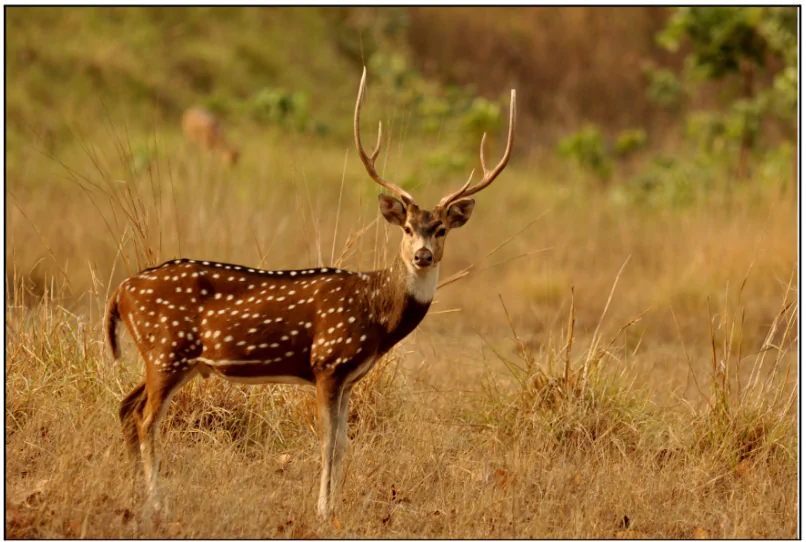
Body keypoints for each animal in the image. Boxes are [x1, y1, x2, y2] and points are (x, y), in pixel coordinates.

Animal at [109, 68, 516, 524]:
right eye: (408, 228)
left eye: (441, 228)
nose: (423, 255)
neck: (376, 313)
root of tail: (121, 292)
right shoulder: (328, 362)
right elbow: (327, 442)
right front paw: (322, 510)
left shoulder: (351, 377)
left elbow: (343, 444)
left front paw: (336, 506)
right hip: (167, 350)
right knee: (145, 419)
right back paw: (156, 501)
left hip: (168, 359)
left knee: (126, 408)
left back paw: (135, 492)